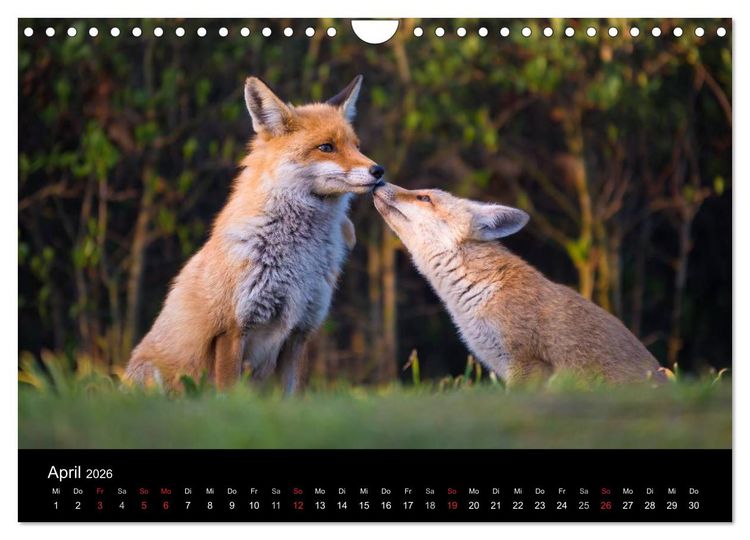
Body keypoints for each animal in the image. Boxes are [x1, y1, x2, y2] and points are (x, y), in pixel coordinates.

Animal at [125, 75, 385, 392]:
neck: (297, 258)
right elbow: (227, 393)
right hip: (155, 376)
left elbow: (290, 394)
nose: (379, 170)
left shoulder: (300, 332)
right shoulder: (233, 329)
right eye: (326, 147)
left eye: (356, 146)